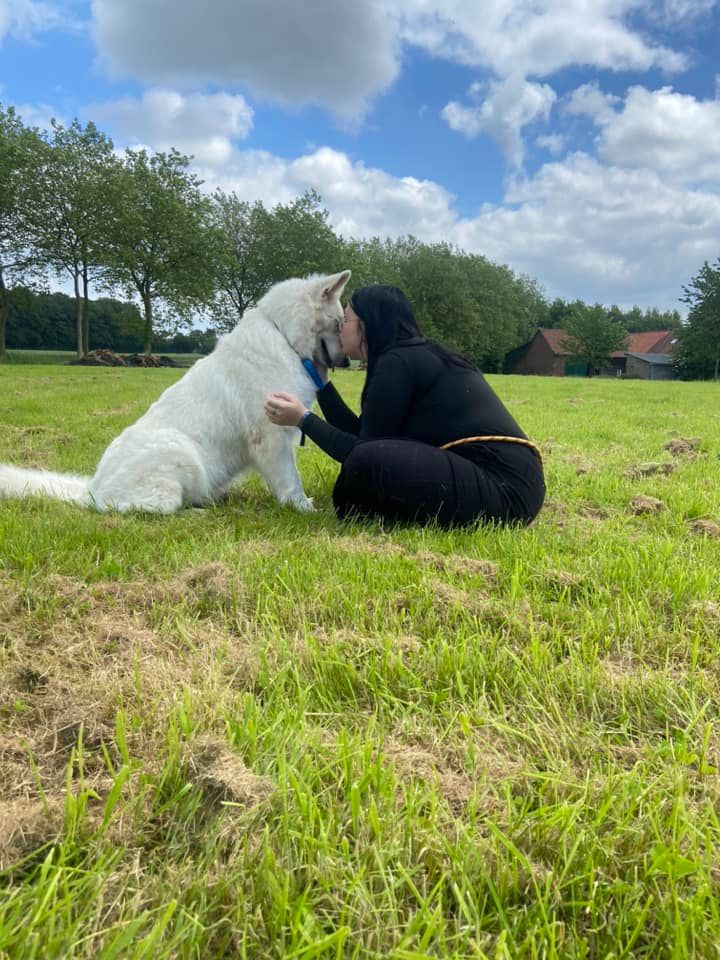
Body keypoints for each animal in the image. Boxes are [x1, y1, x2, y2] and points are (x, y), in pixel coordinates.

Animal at [0, 270, 352, 512]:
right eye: (338, 323)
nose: (348, 361)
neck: (282, 334)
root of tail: (92, 490)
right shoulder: (271, 437)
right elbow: (290, 481)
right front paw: (303, 508)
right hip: (182, 455)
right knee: (143, 508)